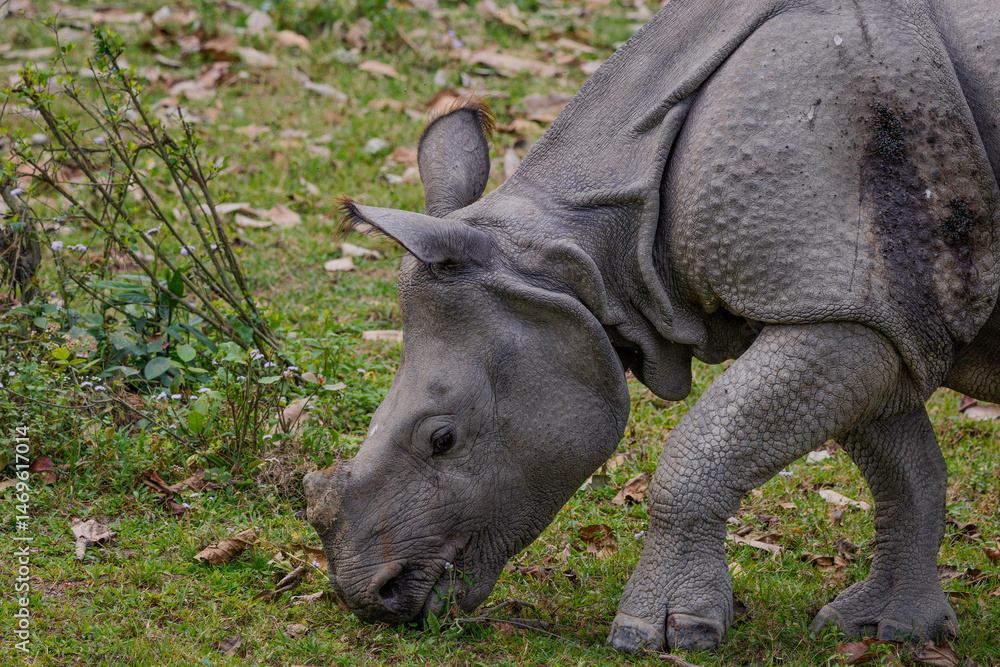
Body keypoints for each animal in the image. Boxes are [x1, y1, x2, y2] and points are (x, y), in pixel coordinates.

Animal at [304, 0, 1000, 653]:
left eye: (442, 440)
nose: (369, 596)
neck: (574, 258)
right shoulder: (868, 310)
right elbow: (906, 470)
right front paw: (891, 628)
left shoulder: (846, 302)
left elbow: (698, 452)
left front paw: (663, 634)